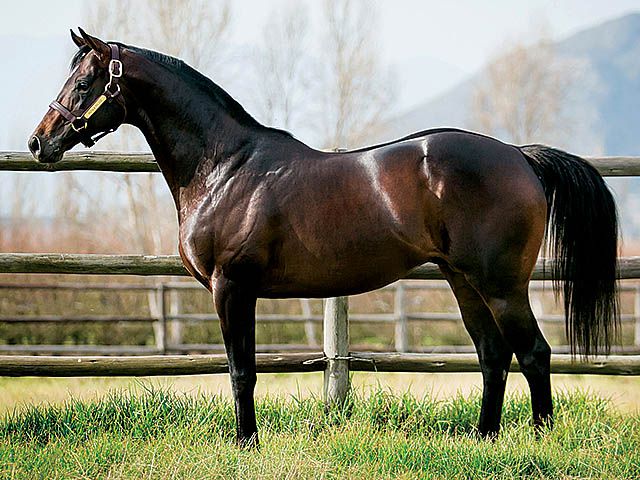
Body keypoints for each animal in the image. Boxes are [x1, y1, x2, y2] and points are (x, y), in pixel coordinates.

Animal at [28, 30, 620, 448]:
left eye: (84, 83)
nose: (38, 143)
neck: (225, 166)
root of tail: (519, 155)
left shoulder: (232, 288)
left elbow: (241, 371)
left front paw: (246, 445)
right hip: (462, 280)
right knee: (494, 355)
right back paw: (483, 440)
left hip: (500, 285)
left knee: (534, 353)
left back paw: (538, 441)